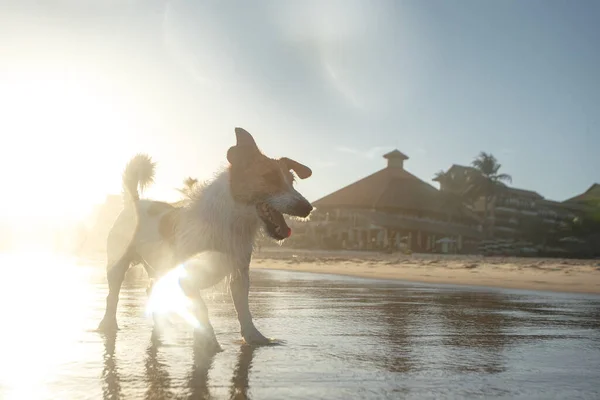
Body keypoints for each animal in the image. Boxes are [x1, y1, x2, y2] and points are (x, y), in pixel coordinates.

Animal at [97, 127, 314, 346]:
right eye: (269, 177)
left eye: (292, 182)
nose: (308, 208)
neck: (229, 221)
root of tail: (134, 203)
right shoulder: (186, 275)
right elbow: (202, 308)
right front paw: (208, 341)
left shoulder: (239, 274)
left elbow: (243, 309)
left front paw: (253, 336)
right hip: (117, 265)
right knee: (112, 296)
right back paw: (108, 325)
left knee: (151, 291)